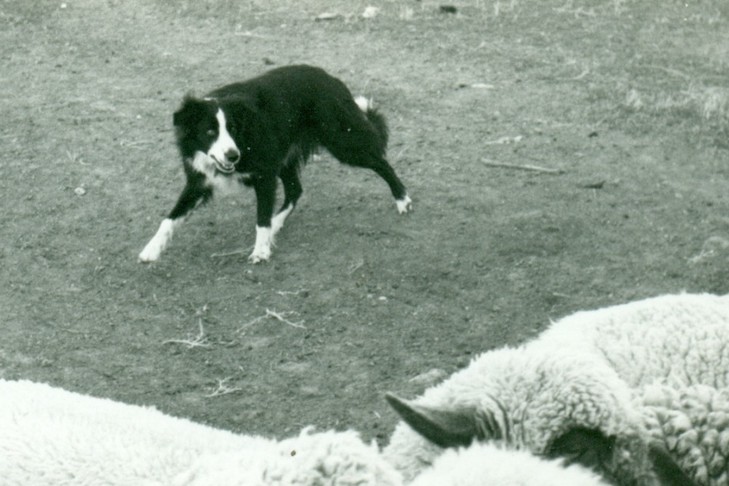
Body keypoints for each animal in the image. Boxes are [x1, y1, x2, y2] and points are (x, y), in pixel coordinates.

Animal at [136, 64, 410, 264]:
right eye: (210, 131)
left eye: (233, 129)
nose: (232, 156)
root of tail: (330, 78)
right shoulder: (199, 181)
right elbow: (169, 219)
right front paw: (151, 250)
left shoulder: (263, 175)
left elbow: (260, 218)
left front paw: (260, 251)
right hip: (286, 156)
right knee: (295, 190)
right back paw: (278, 222)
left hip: (342, 140)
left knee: (381, 162)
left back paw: (402, 200)